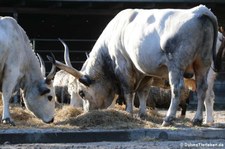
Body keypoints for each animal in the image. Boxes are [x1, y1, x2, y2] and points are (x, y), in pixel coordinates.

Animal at [48, 5, 221, 126]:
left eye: (81, 93)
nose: (88, 112)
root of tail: (200, 11)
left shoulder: (123, 66)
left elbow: (128, 91)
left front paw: (129, 112)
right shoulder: (145, 72)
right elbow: (143, 92)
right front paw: (142, 114)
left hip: (176, 65)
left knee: (179, 88)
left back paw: (169, 118)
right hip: (203, 64)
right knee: (202, 89)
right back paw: (197, 120)